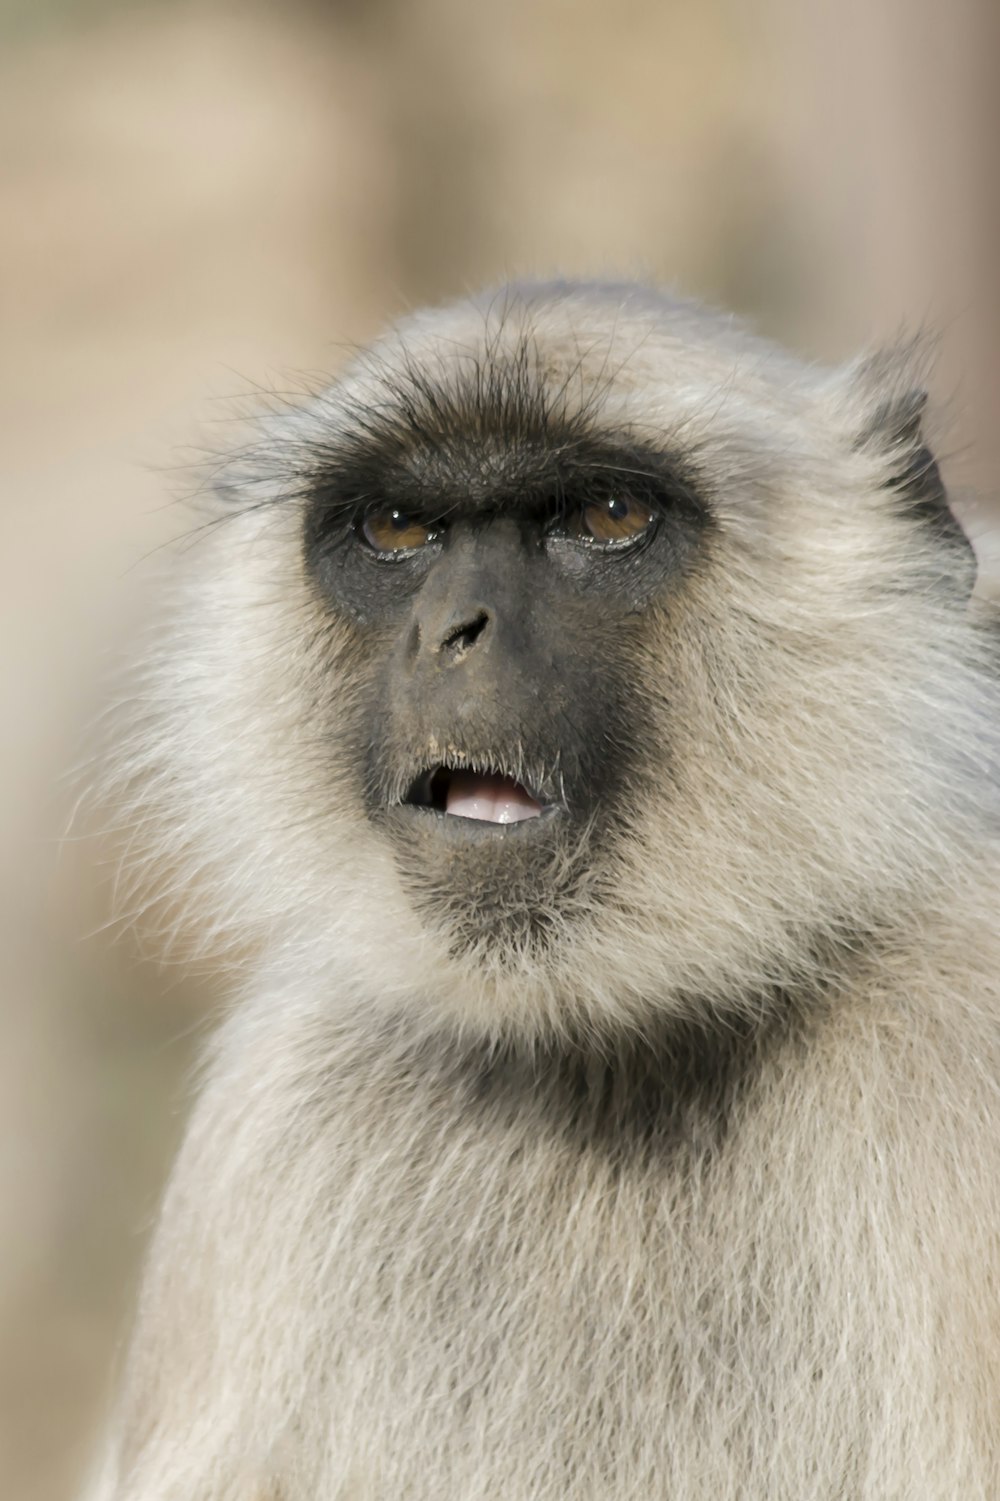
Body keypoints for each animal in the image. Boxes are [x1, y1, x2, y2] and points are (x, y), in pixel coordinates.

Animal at [83, 283, 996, 1501]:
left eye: (607, 515)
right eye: (398, 529)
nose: (449, 632)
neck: (614, 1053)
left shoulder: (962, 1038)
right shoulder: (267, 1119)